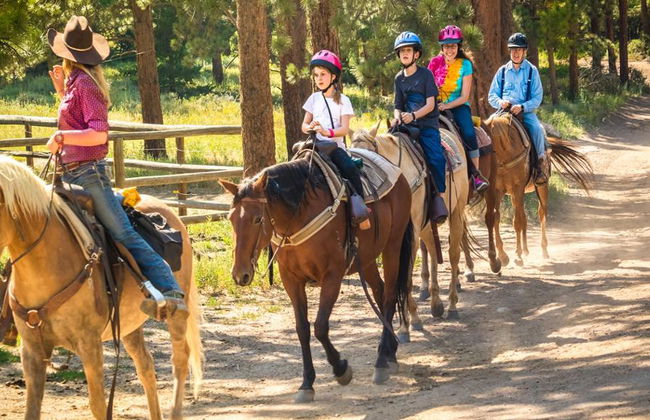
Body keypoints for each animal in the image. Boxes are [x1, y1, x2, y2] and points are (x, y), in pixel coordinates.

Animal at [0, 156, 203, 420]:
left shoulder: (90, 345)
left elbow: (98, 405)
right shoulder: (32, 350)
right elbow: (31, 409)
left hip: (177, 311)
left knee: (180, 359)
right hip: (129, 325)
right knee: (146, 366)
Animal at [220, 153, 413, 403]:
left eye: (257, 219)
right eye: (231, 218)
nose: (240, 274)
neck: (298, 216)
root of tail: (397, 174)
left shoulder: (332, 275)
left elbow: (320, 327)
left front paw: (341, 369)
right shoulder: (291, 279)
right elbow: (302, 329)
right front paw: (306, 384)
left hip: (393, 246)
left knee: (389, 296)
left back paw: (381, 362)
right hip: (368, 258)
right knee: (380, 292)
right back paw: (390, 353)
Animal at [351, 124, 470, 339]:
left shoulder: (409, 235)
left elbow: (404, 276)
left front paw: (410, 321)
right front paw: (405, 324)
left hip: (456, 210)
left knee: (453, 254)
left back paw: (452, 305)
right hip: (425, 225)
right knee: (433, 250)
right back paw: (436, 303)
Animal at [483, 113, 592, 269]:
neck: (506, 154)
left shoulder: (518, 188)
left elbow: (517, 222)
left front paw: (517, 256)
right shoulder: (497, 190)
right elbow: (497, 218)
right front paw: (503, 256)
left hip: (541, 186)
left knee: (541, 214)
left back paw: (543, 250)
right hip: (515, 195)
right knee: (524, 217)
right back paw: (526, 250)